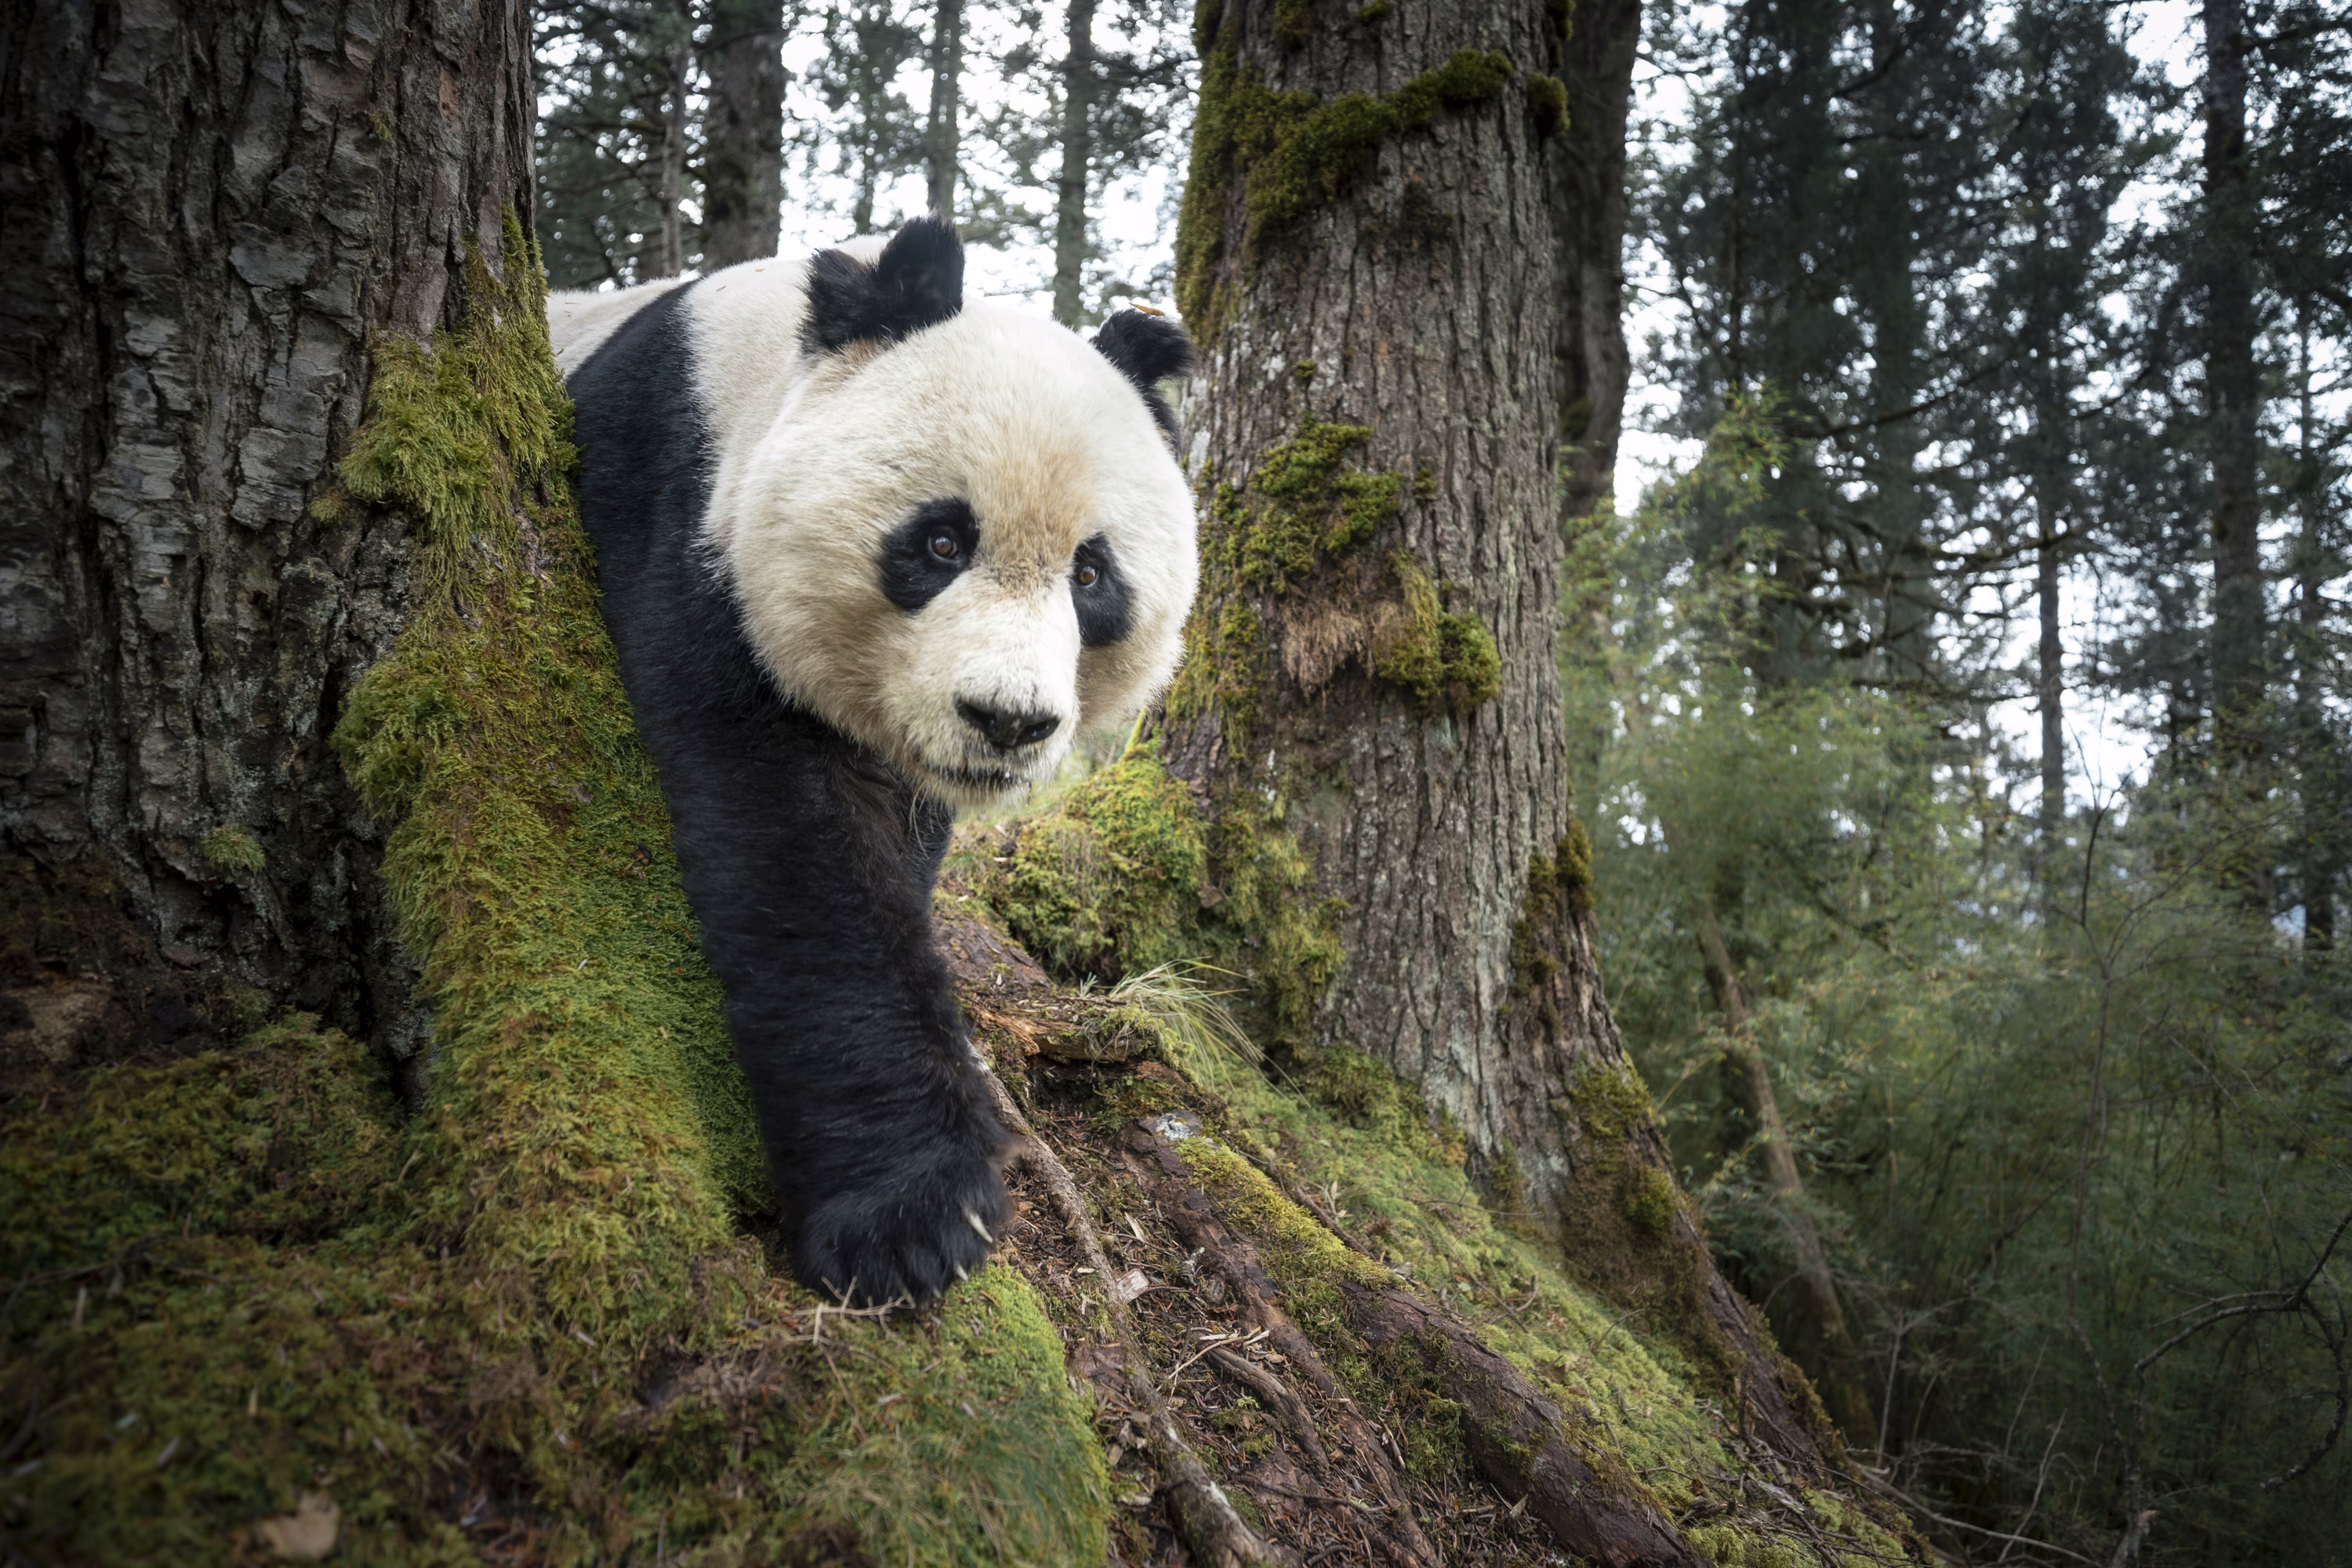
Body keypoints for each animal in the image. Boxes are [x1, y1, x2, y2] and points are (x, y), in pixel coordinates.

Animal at [551, 218, 1197, 1307]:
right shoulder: (675, 508)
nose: (1007, 721)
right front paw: (914, 1217)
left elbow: (898, 838)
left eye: (1091, 574)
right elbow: (800, 853)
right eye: (939, 541)